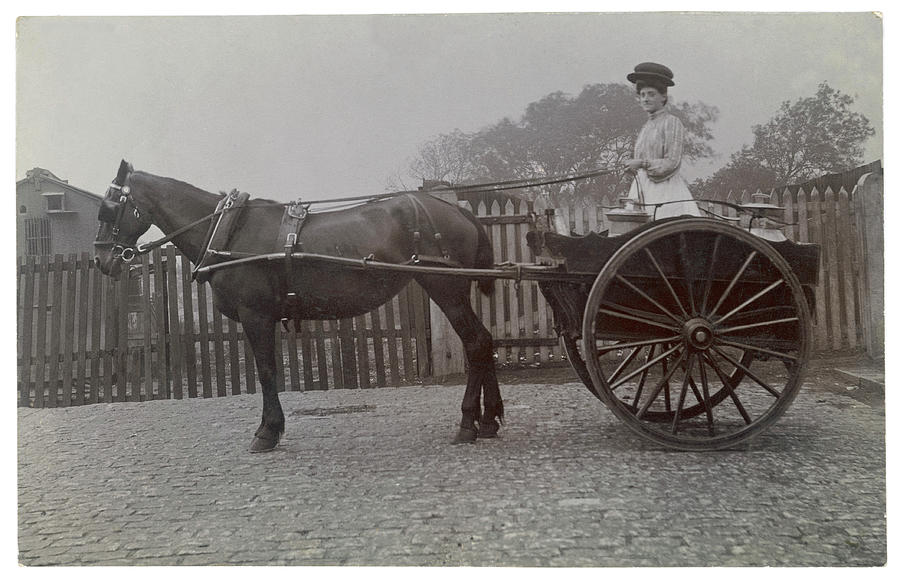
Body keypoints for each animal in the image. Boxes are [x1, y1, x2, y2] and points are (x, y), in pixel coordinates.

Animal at [94, 161, 502, 450]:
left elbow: (267, 372)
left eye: (109, 208)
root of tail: (460, 211)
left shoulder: (256, 316)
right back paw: (489, 420)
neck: (228, 233)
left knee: (476, 343)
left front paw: (267, 432)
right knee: (484, 343)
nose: (102, 260)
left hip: (445, 288)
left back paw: (468, 423)